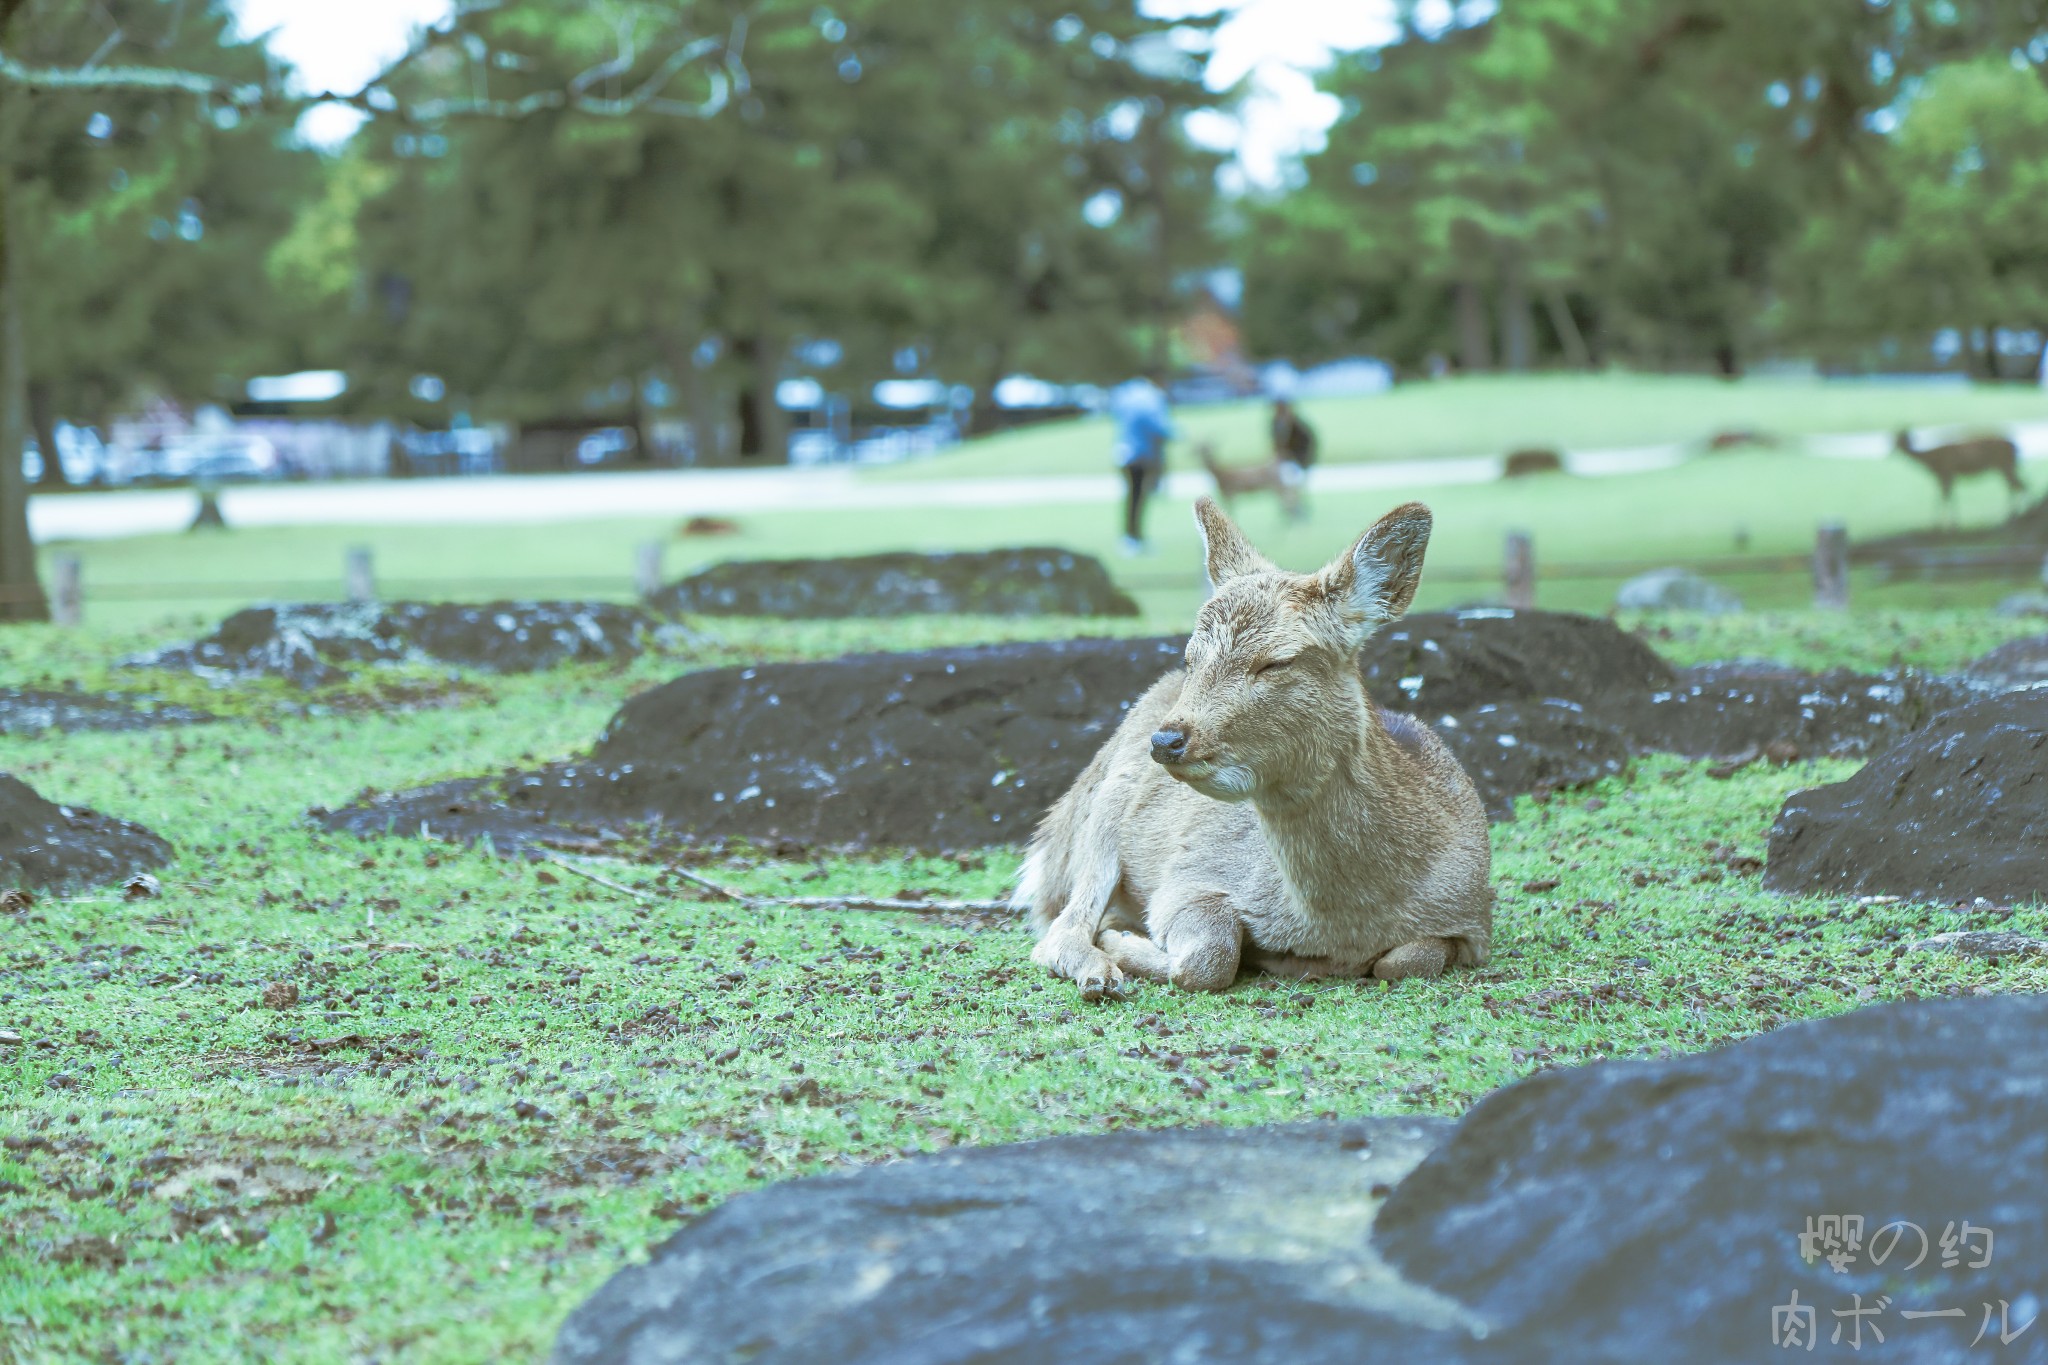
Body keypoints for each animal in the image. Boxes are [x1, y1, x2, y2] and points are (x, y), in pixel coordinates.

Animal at [1019, 497, 1490, 998]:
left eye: (1276, 662)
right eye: (1191, 656)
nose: (1168, 740)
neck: (1342, 926)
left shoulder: (1476, 921)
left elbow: (1407, 960)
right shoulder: (1189, 878)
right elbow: (1210, 956)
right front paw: (1124, 943)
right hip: (1102, 811)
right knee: (1058, 928)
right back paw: (1100, 967)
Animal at [1892, 427, 2023, 523]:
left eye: (1901, 439)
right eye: (1894, 438)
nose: (1892, 450)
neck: (1931, 460)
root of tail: (2015, 446)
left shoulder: (1946, 472)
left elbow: (1945, 497)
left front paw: (1942, 523)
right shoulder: (1946, 475)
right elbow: (1946, 496)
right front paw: (1950, 522)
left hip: (2004, 464)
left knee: (2015, 486)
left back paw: (2012, 515)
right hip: (2007, 466)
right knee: (2019, 485)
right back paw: (2015, 514)